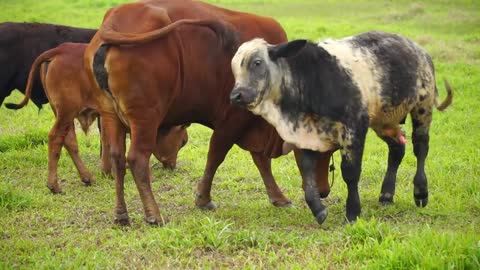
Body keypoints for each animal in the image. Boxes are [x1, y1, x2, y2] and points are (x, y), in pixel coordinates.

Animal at [7, 42, 188, 194]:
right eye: (182, 142)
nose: (172, 166)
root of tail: (61, 49)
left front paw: (110, 171)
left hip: (63, 113)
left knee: (69, 141)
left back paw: (87, 177)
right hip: (66, 112)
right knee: (55, 138)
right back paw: (54, 185)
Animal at [85, 0, 334, 226]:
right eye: (322, 152)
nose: (323, 192)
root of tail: (116, 20)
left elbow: (261, 162)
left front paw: (278, 197)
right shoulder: (232, 121)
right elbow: (216, 157)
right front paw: (203, 199)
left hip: (111, 117)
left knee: (117, 158)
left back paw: (121, 215)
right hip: (146, 119)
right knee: (137, 160)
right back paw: (154, 215)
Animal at [231, 31, 452, 224]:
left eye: (257, 62)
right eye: (233, 68)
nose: (236, 96)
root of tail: (419, 50)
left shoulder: (354, 129)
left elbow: (350, 172)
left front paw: (352, 213)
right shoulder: (308, 136)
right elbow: (308, 173)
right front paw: (318, 210)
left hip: (422, 107)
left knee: (420, 147)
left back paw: (420, 192)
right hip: (384, 120)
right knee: (397, 147)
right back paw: (386, 195)